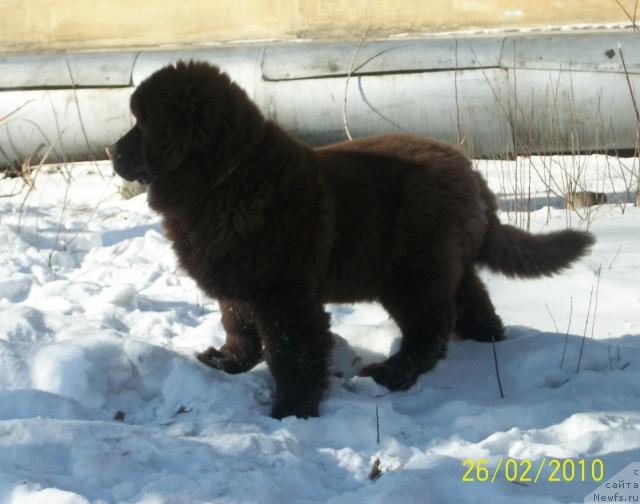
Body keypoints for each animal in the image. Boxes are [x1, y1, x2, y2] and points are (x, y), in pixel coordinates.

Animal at [111, 61, 596, 420]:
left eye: (143, 126)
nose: (112, 151)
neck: (225, 180)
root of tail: (471, 173)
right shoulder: (240, 284)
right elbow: (239, 327)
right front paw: (228, 362)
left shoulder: (283, 293)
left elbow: (292, 352)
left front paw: (293, 410)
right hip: (440, 262)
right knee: (471, 299)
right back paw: (488, 340)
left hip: (410, 273)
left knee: (430, 326)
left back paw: (395, 372)